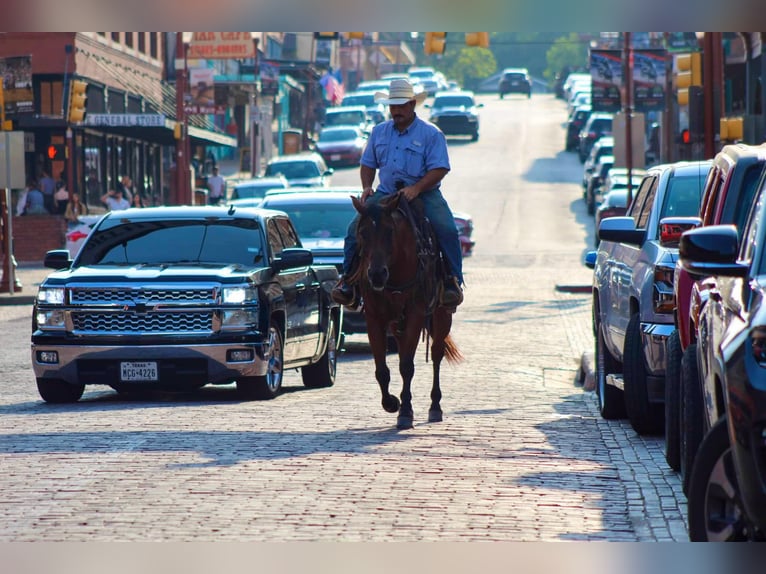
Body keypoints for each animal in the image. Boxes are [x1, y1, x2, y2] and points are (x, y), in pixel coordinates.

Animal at [348, 194, 462, 432]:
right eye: (362, 232)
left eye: (390, 230)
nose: (376, 274)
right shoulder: (374, 318)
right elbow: (382, 368)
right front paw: (392, 403)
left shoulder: (415, 316)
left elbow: (407, 366)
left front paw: (406, 411)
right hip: (396, 324)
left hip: (442, 316)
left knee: (436, 354)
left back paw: (435, 407)